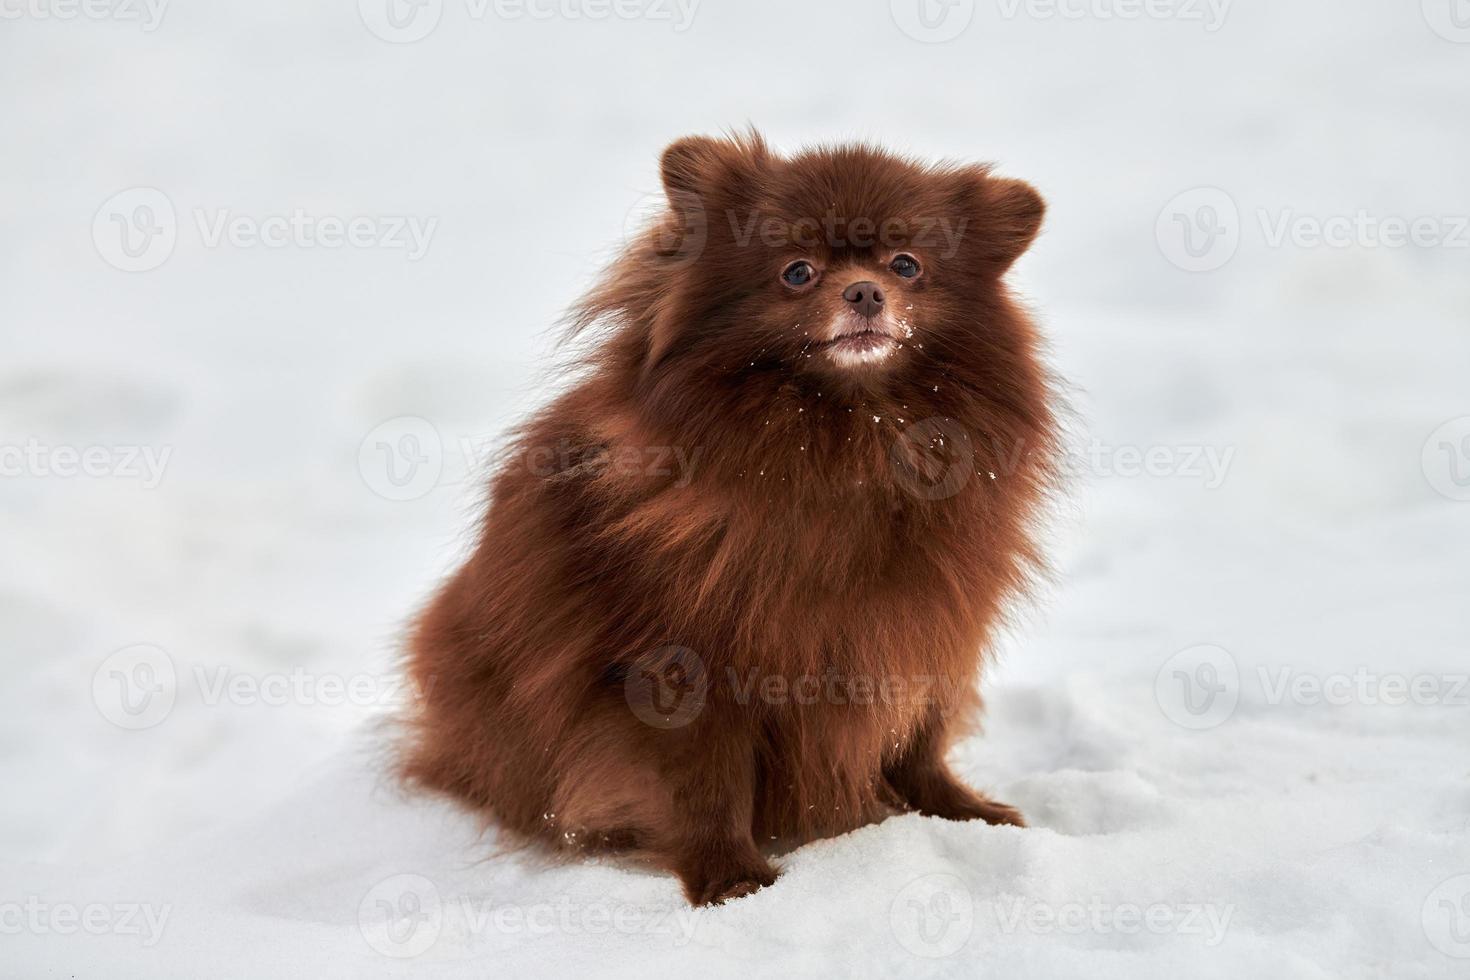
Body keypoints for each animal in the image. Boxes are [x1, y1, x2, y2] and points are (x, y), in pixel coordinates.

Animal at [405, 134, 1058, 910]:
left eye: (907, 265)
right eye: (797, 271)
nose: (864, 291)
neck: (847, 448)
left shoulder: (925, 625)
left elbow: (917, 737)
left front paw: (960, 812)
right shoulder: (685, 666)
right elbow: (706, 783)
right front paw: (730, 879)